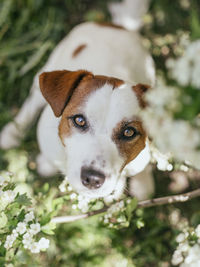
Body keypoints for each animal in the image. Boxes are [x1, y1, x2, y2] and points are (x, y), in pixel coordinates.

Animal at [0, 21, 155, 201]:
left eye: (129, 132)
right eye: (79, 120)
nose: (93, 178)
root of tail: (114, 25)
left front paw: (141, 184)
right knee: (32, 103)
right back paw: (12, 134)